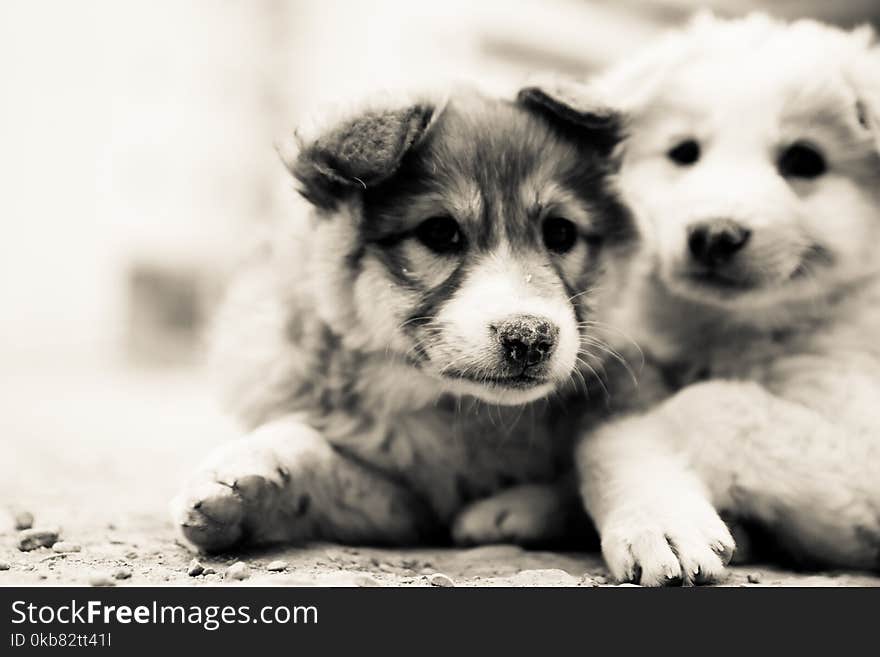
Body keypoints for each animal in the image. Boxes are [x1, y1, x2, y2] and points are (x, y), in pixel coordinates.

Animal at [172, 86, 640, 548]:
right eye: (439, 232)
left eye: (560, 232)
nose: (529, 338)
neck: (455, 407)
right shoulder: (405, 506)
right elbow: (314, 452)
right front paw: (239, 474)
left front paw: (518, 508)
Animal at [576, 12, 880, 584]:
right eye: (684, 153)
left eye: (805, 160)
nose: (714, 235)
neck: (730, 328)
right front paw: (656, 519)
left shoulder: (861, 441)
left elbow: (704, 407)